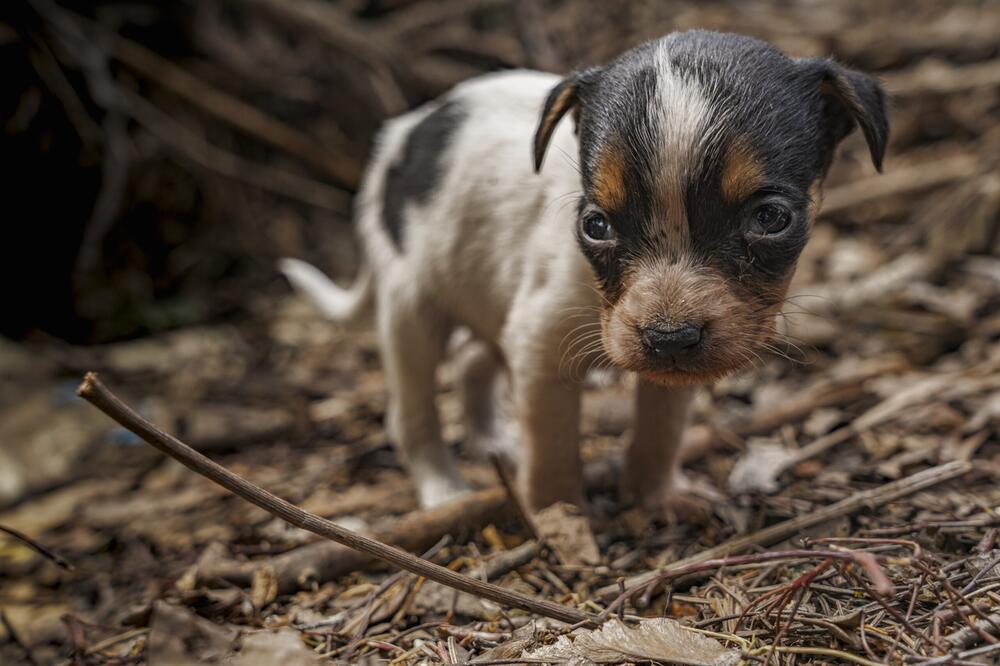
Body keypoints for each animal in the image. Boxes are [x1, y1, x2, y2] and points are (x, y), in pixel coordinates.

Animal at [280, 28, 884, 510]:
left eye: (770, 218)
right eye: (596, 225)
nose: (669, 337)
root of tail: (397, 138)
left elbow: (661, 428)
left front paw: (654, 496)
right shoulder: (539, 347)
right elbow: (552, 449)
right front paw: (558, 517)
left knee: (473, 360)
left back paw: (491, 441)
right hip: (410, 308)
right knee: (412, 413)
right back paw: (443, 488)